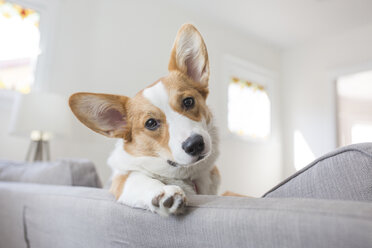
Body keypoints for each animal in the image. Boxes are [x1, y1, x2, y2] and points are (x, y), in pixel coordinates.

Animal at [69, 23, 219, 217]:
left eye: (188, 101)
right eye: (151, 123)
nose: (194, 144)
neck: (185, 174)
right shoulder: (122, 178)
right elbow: (138, 178)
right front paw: (163, 193)